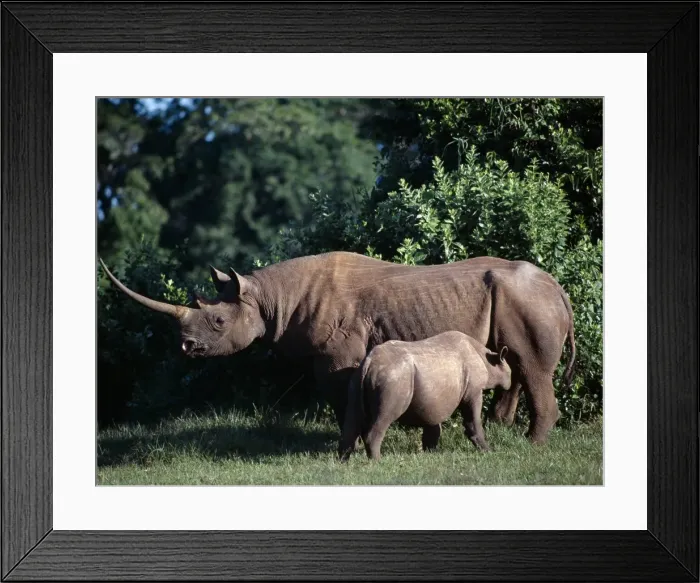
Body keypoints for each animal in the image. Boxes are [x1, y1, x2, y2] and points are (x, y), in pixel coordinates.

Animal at [99, 250, 575, 444]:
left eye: (217, 321)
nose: (187, 347)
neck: (268, 297)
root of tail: (559, 288)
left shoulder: (336, 355)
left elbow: (340, 395)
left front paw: (352, 442)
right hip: (521, 300)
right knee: (514, 363)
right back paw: (504, 427)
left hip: (528, 301)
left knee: (532, 367)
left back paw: (531, 446)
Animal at [338, 331, 513, 461]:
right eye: (509, 374)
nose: (509, 384)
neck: (488, 360)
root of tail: (369, 362)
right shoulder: (474, 391)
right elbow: (473, 420)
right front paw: (488, 450)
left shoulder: (432, 398)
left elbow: (432, 425)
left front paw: (431, 452)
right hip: (393, 379)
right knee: (385, 417)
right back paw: (377, 462)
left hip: (357, 378)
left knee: (352, 417)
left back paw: (343, 461)